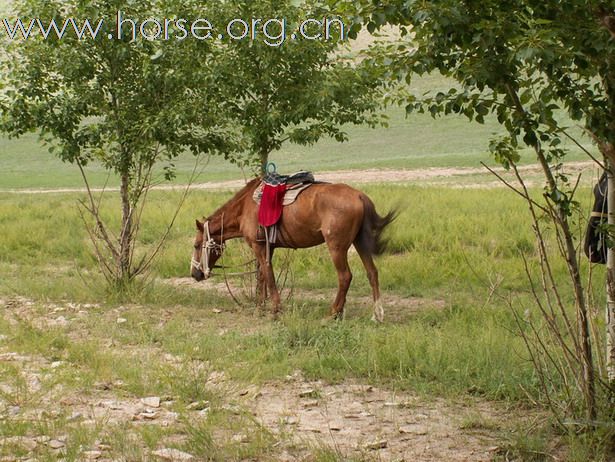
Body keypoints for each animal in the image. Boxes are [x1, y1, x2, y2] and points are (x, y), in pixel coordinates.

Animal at [190, 177, 398, 322]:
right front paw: (260, 308)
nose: (194, 273)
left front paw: (274, 310)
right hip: (360, 242)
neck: (245, 207)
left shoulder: (259, 247)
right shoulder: (268, 247)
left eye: (196, 245)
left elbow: (268, 276)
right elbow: (263, 276)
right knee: (372, 273)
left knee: (345, 277)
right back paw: (376, 314)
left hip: (337, 247)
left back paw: (333, 313)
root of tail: (359, 196)